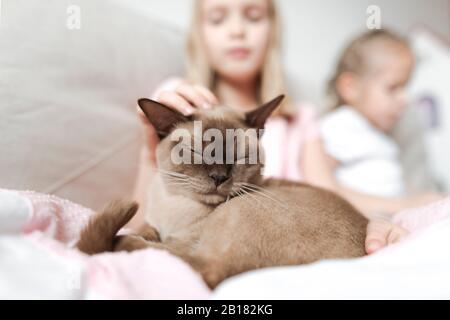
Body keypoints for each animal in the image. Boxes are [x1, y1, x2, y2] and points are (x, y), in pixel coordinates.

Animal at [77, 95, 368, 288]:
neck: (175, 207)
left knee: (204, 269)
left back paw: (121, 243)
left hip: (237, 212)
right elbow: (147, 229)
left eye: (239, 156)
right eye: (196, 153)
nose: (218, 177)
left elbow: (163, 245)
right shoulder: (153, 224)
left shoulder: (184, 239)